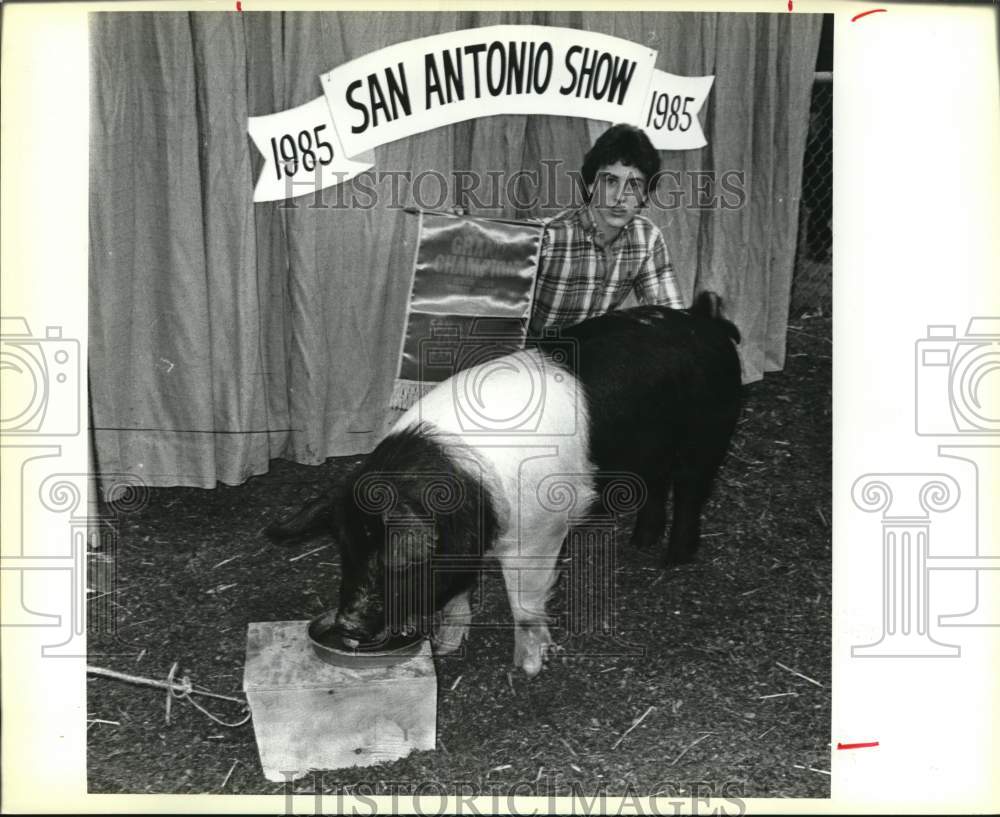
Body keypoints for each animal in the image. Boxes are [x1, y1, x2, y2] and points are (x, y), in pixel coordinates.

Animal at [268, 294, 744, 676]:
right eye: (345, 549)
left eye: (396, 559)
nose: (347, 625)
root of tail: (704, 320)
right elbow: (459, 586)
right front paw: (446, 646)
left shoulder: (539, 534)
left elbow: (525, 602)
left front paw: (528, 668)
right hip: (653, 451)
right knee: (658, 485)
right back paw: (640, 543)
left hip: (709, 434)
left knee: (691, 490)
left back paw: (673, 560)